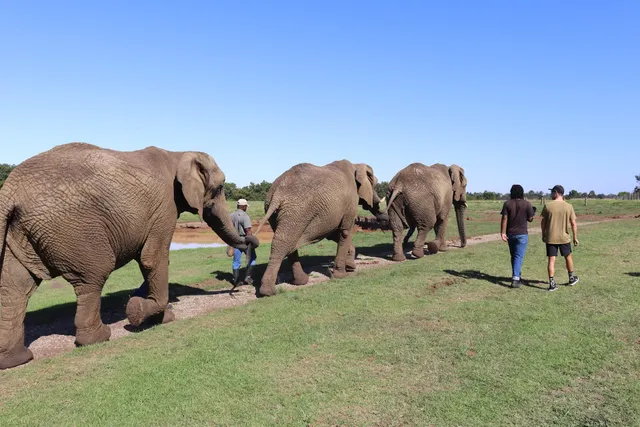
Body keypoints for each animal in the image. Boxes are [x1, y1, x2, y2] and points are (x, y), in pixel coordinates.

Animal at [0, 142, 250, 369]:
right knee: (93, 276)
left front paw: (152, 311)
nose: (249, 241)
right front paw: (142, 313)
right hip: (72, 230)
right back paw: (99, 338)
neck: (178, 153)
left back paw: (17, 359)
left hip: (19, 234)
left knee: (15, 289)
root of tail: (10, 190)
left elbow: (150, 260)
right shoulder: (165, 207)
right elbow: (153, 258)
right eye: (220, 187)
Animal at [254, 160, 386, 297]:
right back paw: (268, 292)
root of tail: (277, 194)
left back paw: (301, 282)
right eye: (374, 183)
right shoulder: (350, 202)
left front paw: (350, 267)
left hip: (279, 212)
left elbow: (334, 234)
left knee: (288, 243)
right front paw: (342, 275)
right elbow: (344, 232)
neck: (356, 165)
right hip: (297, 212)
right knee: (283, 243)